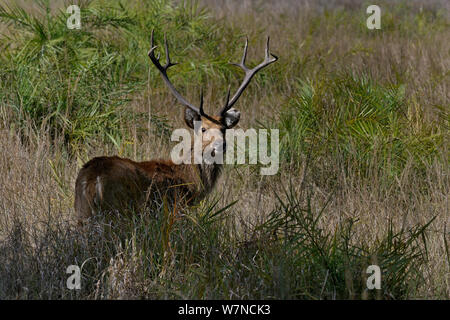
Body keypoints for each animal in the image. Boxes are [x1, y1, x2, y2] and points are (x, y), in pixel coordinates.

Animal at [74, 30, 278, 225]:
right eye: (203, 129)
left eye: (224, 129)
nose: (220, 145)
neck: (190, 181)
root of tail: (91, 180)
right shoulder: (176, 209)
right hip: (119, 211)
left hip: (83, 214)